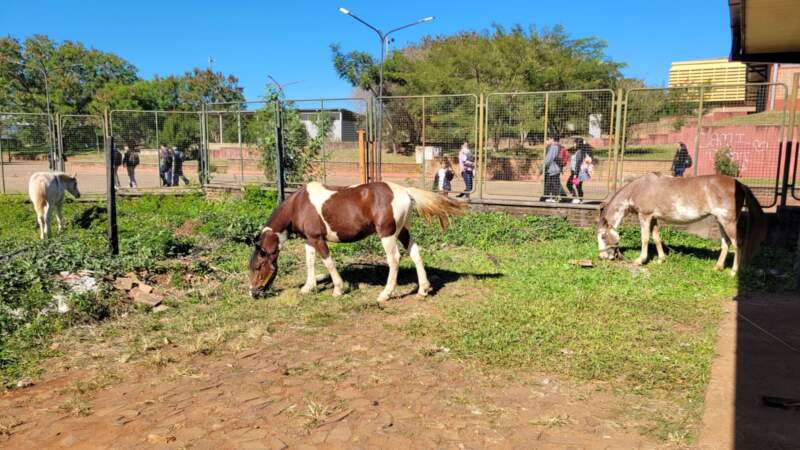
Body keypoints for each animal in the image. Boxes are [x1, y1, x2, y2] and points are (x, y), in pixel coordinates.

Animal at [248, 181, 468, 303]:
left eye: (258, 267)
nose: (253, 292)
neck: (299, 205)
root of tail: (404, 191)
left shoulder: (318, 239)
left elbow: (328, 262)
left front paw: (338, 289)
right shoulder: (309, 241)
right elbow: (310, 262)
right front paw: (308, 288)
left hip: (387, 234)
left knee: (394, 259)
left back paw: (385, 294)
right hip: (403, 231)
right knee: (415, 253)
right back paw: (423, 289)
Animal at [596, 173, 766, 275]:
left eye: (603, 236)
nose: (602, 256)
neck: (639, 188)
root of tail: (739, 184)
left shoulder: (645, 216)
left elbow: (645, 238)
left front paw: (640, 260)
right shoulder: (654, 218)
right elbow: (656, 238)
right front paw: (661, 259)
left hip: (728, 222)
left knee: (738, 244)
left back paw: (734, 272)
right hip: (720, 221)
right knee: (726, 243)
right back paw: (717, 267)